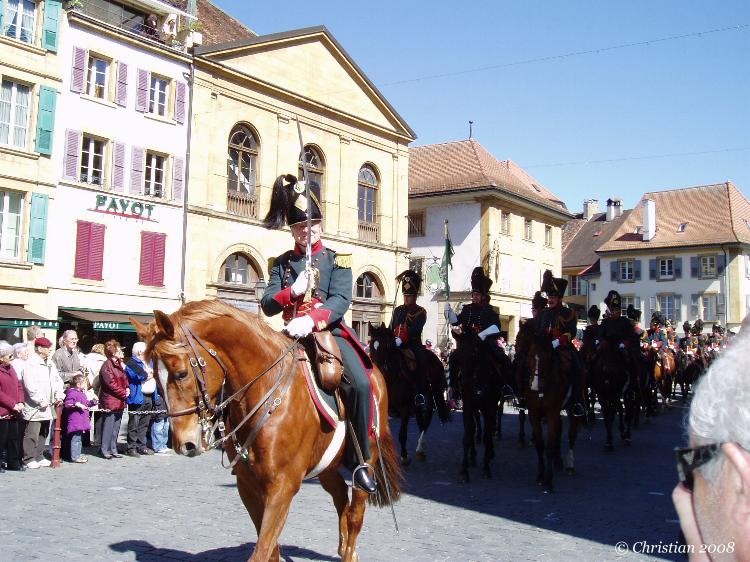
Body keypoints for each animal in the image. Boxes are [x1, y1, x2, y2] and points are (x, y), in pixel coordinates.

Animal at [132, 300, 403, 562]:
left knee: (356, 513)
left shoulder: (282, 487)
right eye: (153, 375)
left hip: (367, 459)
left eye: (181, 374)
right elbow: (270, 550)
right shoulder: (247, 485)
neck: (264, 392)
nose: (184, 444)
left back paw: (349, 549)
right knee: (340, 496)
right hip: (326, 464)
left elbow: (262, 551)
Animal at [368, 323, 449, 465]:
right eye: (372, 346)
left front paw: (404, 456)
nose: (377, 372)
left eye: (386, 346)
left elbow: (402, 434)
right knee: (420, 420)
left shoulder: (405, 408)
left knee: (427, 419)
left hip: (432, 395)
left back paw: (420, 447)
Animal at [452, 330, 504, 482]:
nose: (464, 382)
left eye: (474, 353)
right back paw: (473, 456)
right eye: (457, 356)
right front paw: (464, 470)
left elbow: (487, 434)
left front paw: (486, 467)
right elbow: (468, 434)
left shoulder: (490, 407)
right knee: (475, 427)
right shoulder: (468, 406)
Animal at [523, 334, 580, 492]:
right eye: (530, 355)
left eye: (547, 357)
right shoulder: (534, 414)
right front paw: (540, 475)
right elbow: (540, 444)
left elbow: (548, 446)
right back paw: (558, 460)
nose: (534, 385)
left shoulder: (552, 413)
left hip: (573, 407)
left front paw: (548, 480)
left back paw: (570, 465)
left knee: (572, 434)